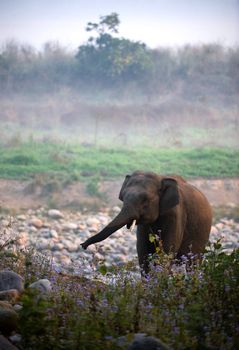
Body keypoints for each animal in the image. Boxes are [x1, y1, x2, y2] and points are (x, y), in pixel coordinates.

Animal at [81, 172, 212, 274]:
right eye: (123, 197)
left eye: (145, 200)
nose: (83, 245)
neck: (160, 178)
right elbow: (142, 251)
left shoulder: (176, 214)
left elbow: (166, 251)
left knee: (193, 263)